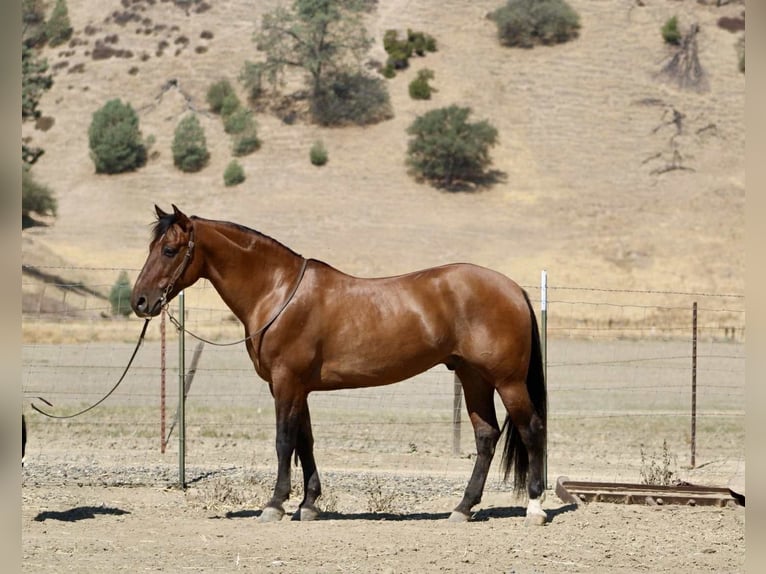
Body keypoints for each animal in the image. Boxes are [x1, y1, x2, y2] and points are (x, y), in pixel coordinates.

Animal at [131, 205, 548, 525]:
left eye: (169, 250)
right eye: (151, 246)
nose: (140, 301)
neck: (278, 292)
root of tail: (513, 288)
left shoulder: (286, 383)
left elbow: (284, 442)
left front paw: (275, 504)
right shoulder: (297, 387)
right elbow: (305, 441)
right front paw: (308, 504)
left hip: (507, 381)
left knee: (531, 429)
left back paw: (535, 507)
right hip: (472, 376)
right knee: (486, 437)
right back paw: (462, 508)